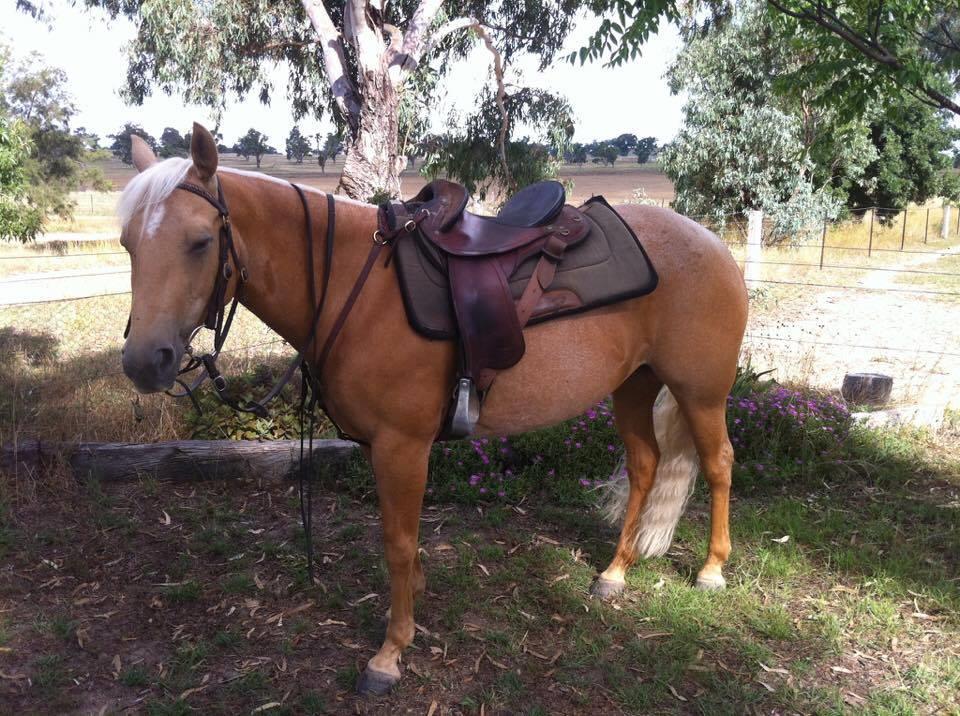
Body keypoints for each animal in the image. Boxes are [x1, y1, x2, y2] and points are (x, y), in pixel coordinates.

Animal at [119, 123, 748, 695]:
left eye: (200, 242)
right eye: (128, 242)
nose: (145, 361)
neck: (352, 284)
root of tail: (713, 243)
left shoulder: (402, 445)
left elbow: (397, 543)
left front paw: (390, 652)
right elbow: (403, 537)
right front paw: (411, 605)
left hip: (699, 392)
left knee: (719, 462)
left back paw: (713, 569)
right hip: (633, 386)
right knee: (645, 465)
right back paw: (615, 573)